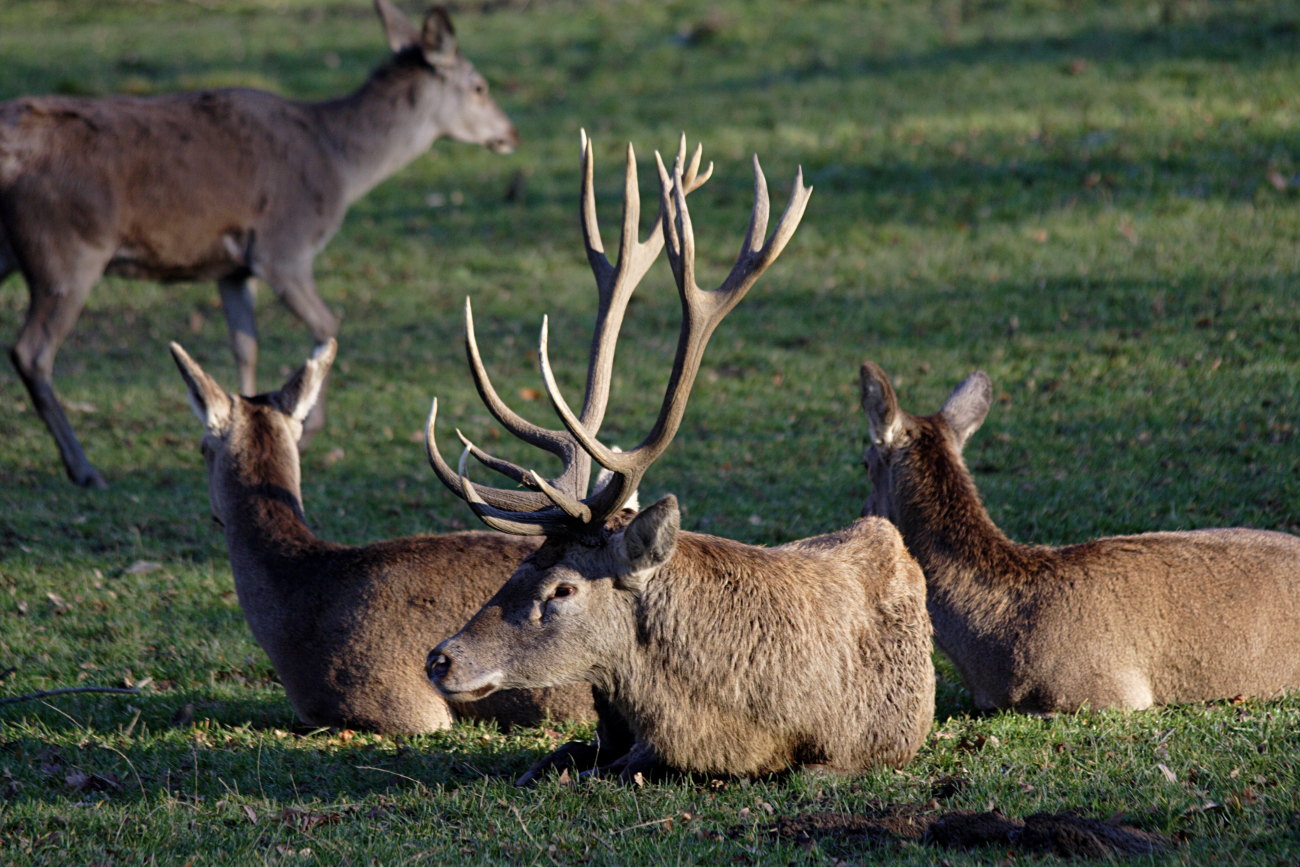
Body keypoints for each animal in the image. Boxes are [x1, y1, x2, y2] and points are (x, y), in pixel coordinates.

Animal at [0, 0, 517, 488]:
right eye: (479, 86)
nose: (510, 133)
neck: (339, 166)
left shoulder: (233, 268)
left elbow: (245, 344)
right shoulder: (284, 247)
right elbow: (328, 324)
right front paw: (306, 431)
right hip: (65, 250)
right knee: (31, 352)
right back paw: (84, 469)